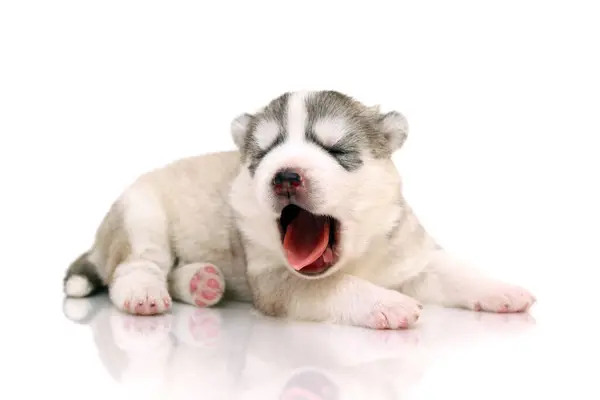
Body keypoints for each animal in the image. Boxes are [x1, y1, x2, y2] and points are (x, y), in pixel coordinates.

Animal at [63, 92, 536, 330]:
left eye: (336, 149)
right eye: (263, 153)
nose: (286, 176)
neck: (357, 254)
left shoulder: (411, 256)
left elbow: (455, 271)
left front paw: (501, 290)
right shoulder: (276, 280)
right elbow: (336, 285)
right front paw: (386, 302)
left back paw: (203, 282)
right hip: (141, 214)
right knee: (135, 266)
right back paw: (144, 293)